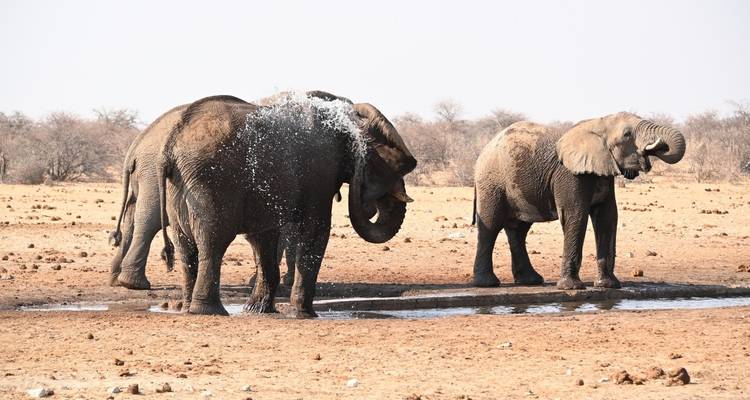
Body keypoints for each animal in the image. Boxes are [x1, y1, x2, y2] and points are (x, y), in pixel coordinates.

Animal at [156, 91, 416, 316]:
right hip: (211, 181)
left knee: (186, 248)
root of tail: (169, 147)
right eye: (397, 165)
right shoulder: (321, 171)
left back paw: (188, 308)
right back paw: (209, 312)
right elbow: (316, 230)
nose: (370, 202)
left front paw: (258, 311)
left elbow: (263, 238)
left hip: (180, 186)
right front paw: (305, 314)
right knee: (214, 241)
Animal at [472, 112, 685, 290]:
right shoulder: (570, 173)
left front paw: (608, 285)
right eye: (627, 134)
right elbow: (575, 215)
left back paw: (530, 281)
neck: (599, 123)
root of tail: (484, 150)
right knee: (491, 225)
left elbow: (607, 218)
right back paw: (487, 284)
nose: (659, 144)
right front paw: (571, 287)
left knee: (518, 230)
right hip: (491, 182)